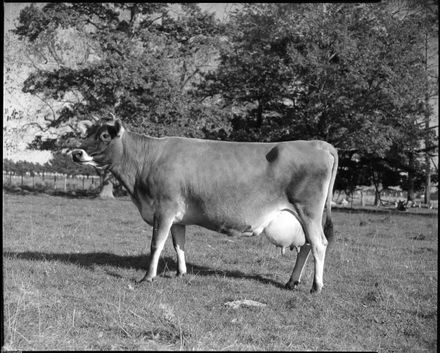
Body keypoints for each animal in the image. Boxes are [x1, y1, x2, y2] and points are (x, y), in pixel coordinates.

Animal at [72, 117, 338, 292]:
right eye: (90, 132)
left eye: (104, 136)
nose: (76, 152)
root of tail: (317, 143)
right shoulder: (177, 216)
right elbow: (178, 244)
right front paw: (180, 273)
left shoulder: (163, 209)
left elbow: (156, 244)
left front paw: (148, 277)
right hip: (302, 216)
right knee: (306, 245)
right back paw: (291, 281)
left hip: (309, 211)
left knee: (319, 244)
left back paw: (316, 286)